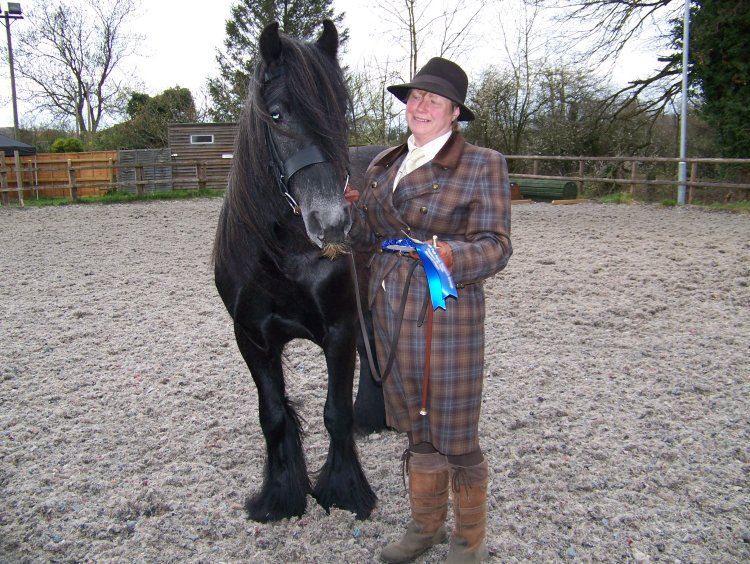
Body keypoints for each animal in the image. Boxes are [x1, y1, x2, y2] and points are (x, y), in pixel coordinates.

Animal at [213, 20, 384, 524]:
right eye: (276, 114)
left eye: (338, 111)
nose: (332, 222)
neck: (281, 255)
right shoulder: (252, 339)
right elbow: (272, 416)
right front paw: (280, 495)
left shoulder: (339, 329)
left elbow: (335, 414)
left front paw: (344, 489)